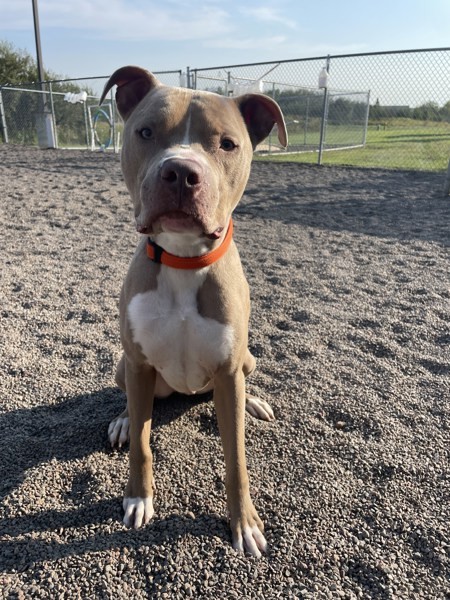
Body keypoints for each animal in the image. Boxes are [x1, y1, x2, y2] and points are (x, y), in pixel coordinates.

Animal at [100, 68, 286, 560]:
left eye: (228, 144)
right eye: (146, 132)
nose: (181, 171)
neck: (183, 259)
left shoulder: (227, 370)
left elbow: (236, 459)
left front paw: (244, 523)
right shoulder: (139, 363)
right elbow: (142, 445)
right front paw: (138, 497)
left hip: (247, 360)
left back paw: (255, 401)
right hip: (124, 365)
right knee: (132, 404)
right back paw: (123, 419)